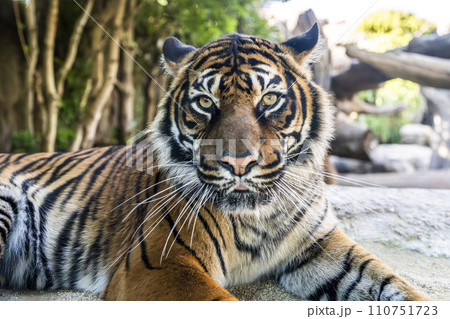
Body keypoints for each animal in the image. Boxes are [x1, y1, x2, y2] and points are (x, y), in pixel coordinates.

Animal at [0, 23, 430, 302]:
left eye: (269, 99)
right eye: (206, 103)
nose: (238, 164)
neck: (261, 216)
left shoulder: (321, 245)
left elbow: (392, 283)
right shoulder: (161, 264)